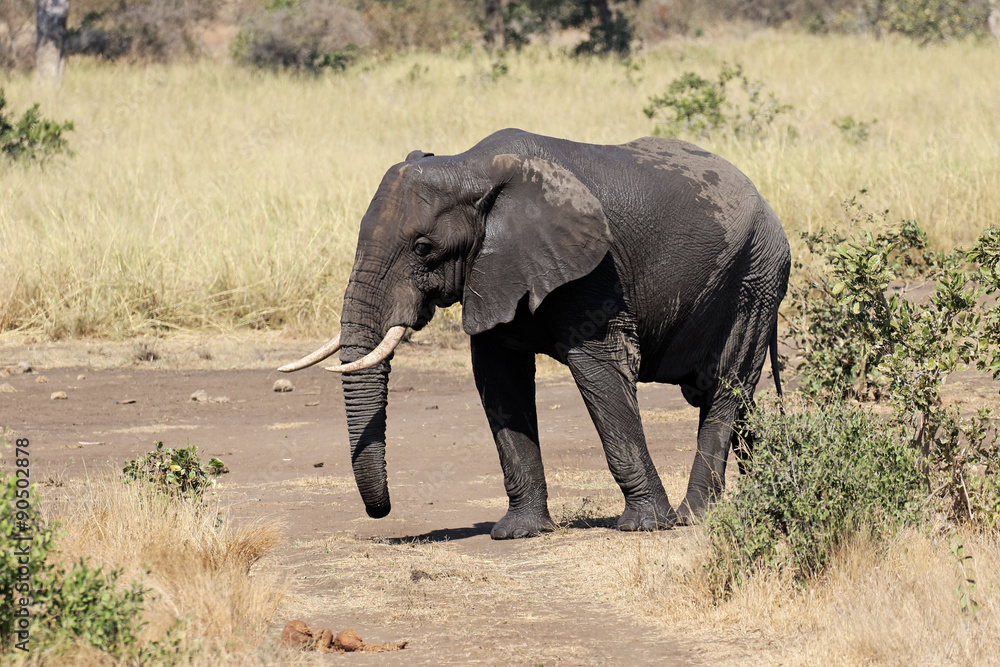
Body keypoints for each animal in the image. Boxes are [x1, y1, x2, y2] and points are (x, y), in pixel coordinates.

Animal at [279, 128, 790, 539]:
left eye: (423, 248)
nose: (382, 512)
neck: (471, 167)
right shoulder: (493, 272)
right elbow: (498, 379)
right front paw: (518, 532)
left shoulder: (594, 273)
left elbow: (602, 372)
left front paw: (645, 526)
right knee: (730, 397)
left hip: (755, 279)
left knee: (724, 389)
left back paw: (693, 517)